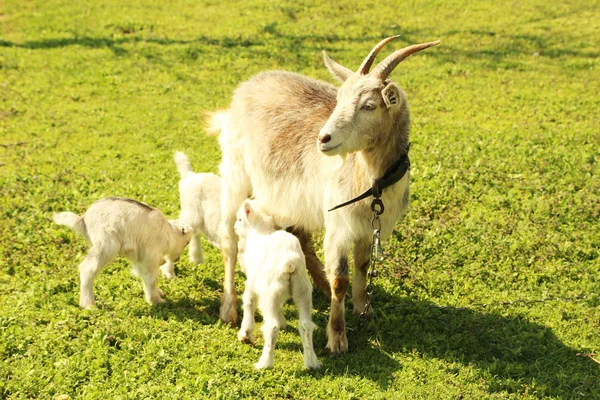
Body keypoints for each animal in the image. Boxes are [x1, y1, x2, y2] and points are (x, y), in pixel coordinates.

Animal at [211, 36, 440, 354]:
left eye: (369, 105)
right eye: (339, 99)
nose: (324, 138)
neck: (371, 181)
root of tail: (247, 86)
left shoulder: (369, 226)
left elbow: (363, 265)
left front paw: (363, 308)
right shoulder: (339, 225)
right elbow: (340, 280)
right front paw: (338, 338)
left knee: (298, 233)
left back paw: (318, 279)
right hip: (236, 174)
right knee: (230, 242)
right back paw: (229, 309)